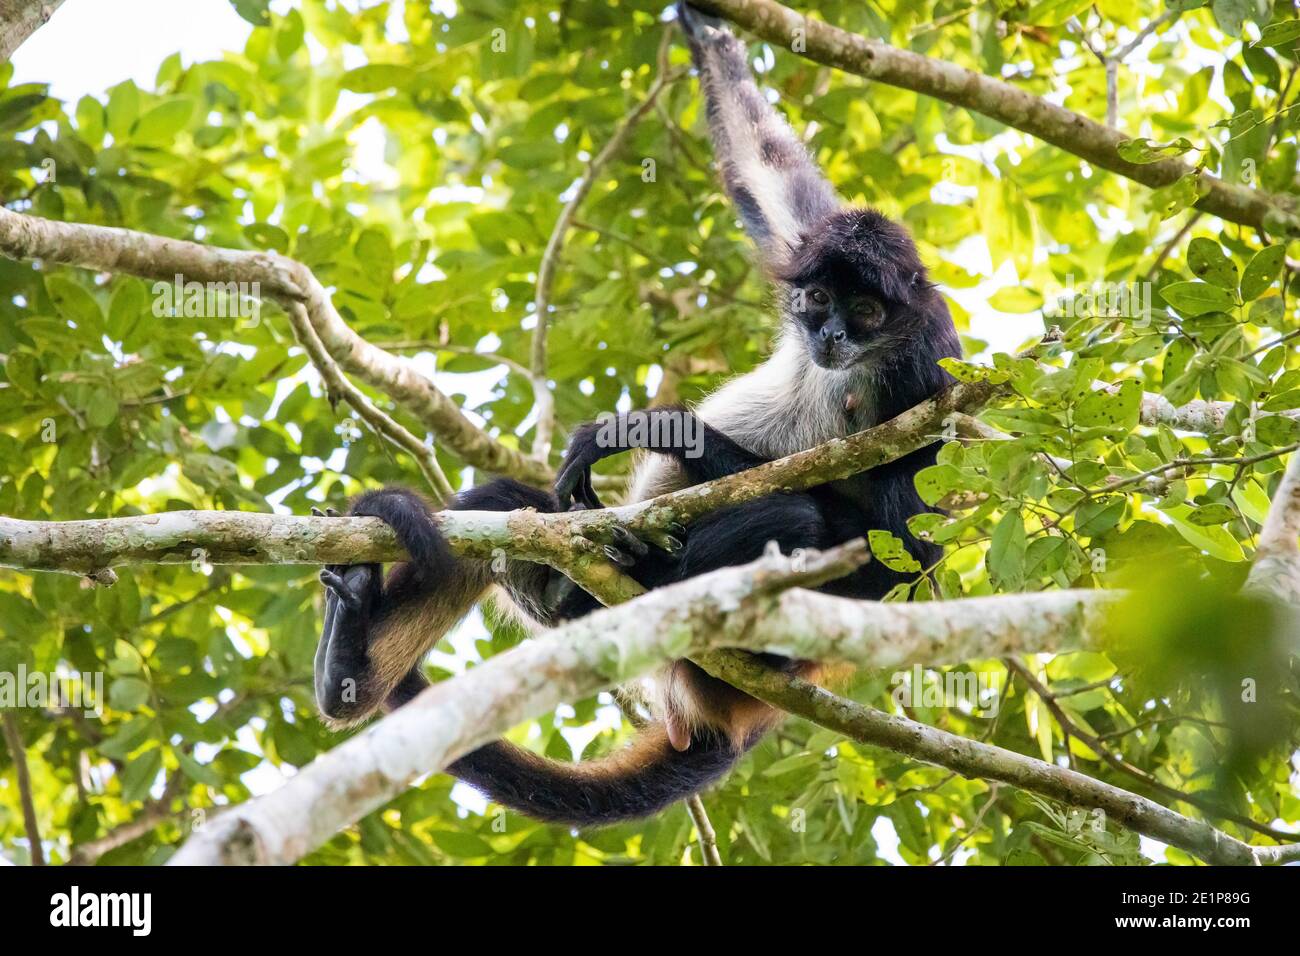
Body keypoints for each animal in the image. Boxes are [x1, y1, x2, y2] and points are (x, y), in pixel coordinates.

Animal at [312, 3, 967, 827]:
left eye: (869, 312)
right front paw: (706, 29)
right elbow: (762, 162)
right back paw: (354, 663)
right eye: (820, 300)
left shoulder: (929, 363)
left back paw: (653, 577)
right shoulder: (810, 243)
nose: (832, 337)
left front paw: (644, 430)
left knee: (800, 521)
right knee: (500, 510)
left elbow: (909, 544)